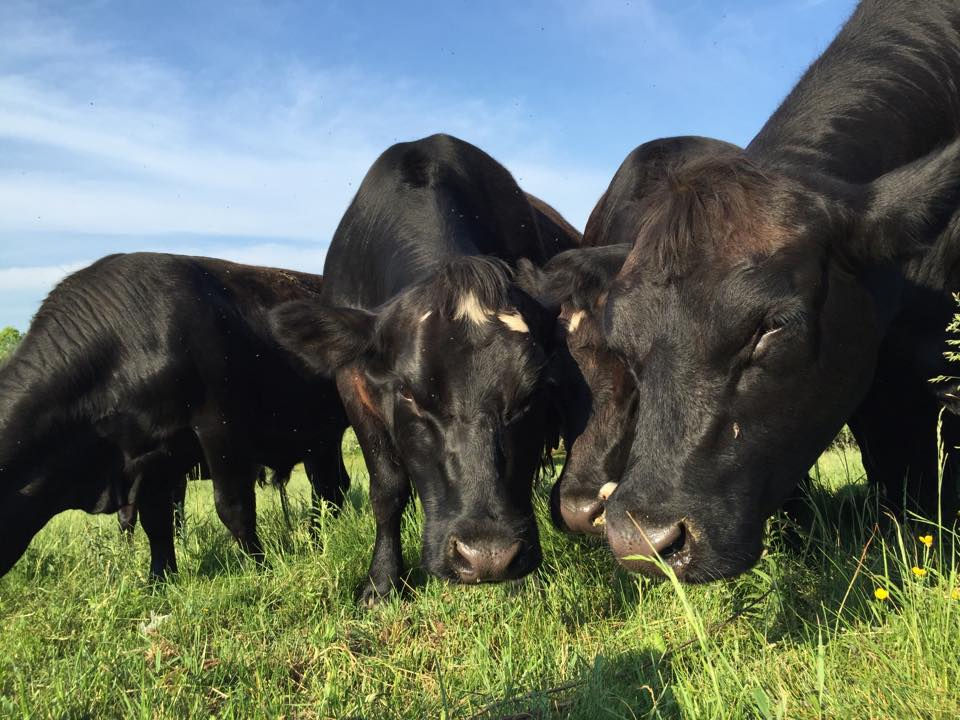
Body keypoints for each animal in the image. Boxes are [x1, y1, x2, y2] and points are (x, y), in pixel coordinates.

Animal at [0, 254, 349, 579]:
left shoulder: (219, 427)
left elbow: (233, 506)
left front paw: (260, 567)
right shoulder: (150, 457)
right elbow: (156, 522)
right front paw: (159, 581)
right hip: (320, 437)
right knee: (331, 487)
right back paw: (319, 542)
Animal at [270, 133, 565, 603]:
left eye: (531, 393)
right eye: (409, 392)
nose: (487, 556)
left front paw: (525, 583)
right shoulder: (353, 383)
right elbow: (387, 489)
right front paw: (382, 582)